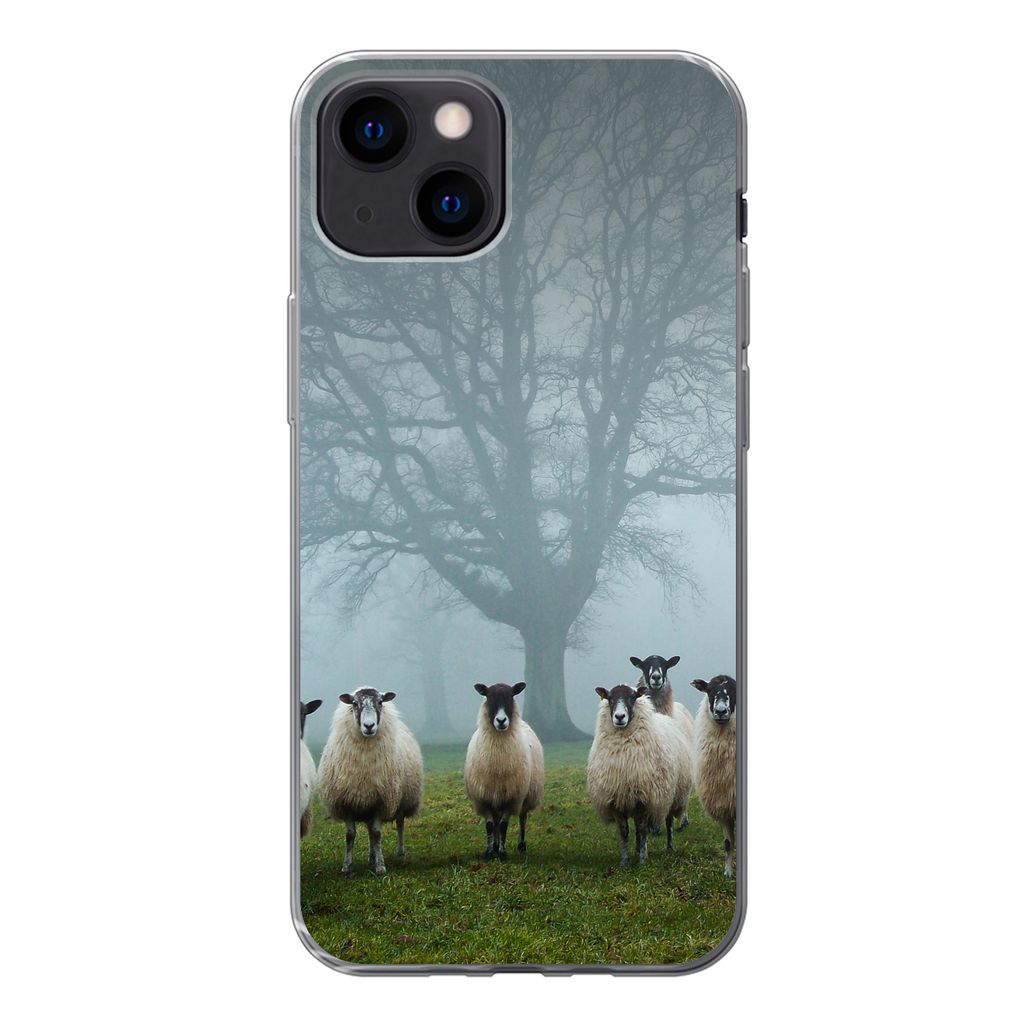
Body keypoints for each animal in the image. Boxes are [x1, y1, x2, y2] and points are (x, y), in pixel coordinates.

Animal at [316, 687, 424, 876]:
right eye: (354, 703)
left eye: (380, 702)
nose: (369, 726)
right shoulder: (348, 802)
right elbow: (350, 835)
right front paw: (347, 866)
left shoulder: (380, 801)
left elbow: (377, 833)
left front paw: (380, 867)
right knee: (368, 831)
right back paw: (371, 856)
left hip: (402, 800)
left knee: (399, 824)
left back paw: (399, 853)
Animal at [464, 682, 544, 861]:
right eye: (488, 696)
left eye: (511, 696)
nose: (501, 720)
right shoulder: (485, 797)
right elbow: (489, 826)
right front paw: (489, 852)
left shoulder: (511, 798)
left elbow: (503, 826)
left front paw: (502, 853)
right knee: (495, 821)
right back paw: (494, 846)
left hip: (526, 796)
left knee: (522, 818)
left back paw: (521, 845)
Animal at [587, 684, 690, 865]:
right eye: (610, 698)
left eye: (633, 697)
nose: (619, 717)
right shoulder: (616, 799)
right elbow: (624, 831)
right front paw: (625, 861)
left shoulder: (644, 798)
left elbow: (642, 830)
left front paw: (642, 860)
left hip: (672, 795)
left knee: (668, 821)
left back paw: (669, 847)